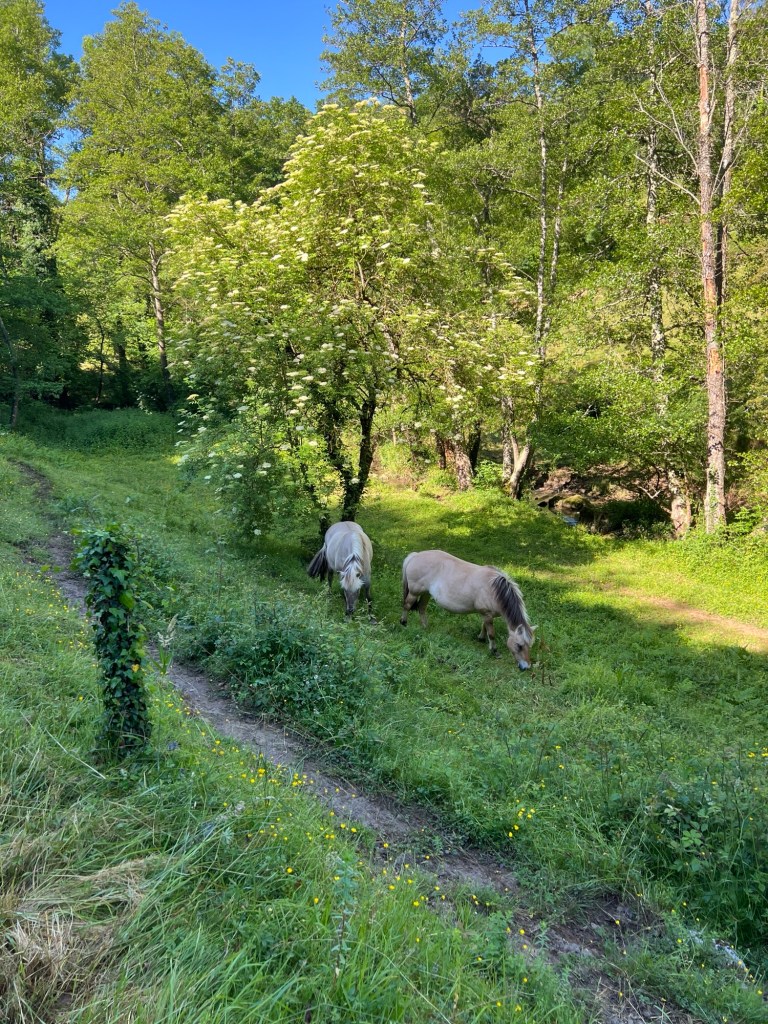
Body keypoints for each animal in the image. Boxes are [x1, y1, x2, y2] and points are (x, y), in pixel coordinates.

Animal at [400, 549, 535, 669]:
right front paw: (494, 651)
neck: (494, 590)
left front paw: (481, 638)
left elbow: (484, 626)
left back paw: (425, 627)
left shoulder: (486, 614)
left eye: (530, 646)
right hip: (414, 592)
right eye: (519, 645)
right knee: (407, 606)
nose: (526, 667)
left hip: (426, 593)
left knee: (421, 608)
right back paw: (403, 623)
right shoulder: (487, 613)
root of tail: (416, 555)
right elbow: (491, 633)